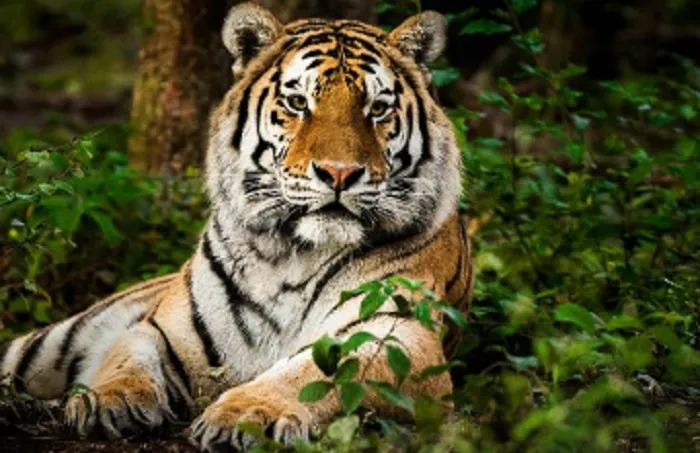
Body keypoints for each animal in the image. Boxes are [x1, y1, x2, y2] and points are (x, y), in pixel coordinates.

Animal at [0, 3, 473, 451]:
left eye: (377, 109)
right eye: (298, 103)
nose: (339, 174)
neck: (293, 255)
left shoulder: (397, 335)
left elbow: (316, 375)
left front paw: (247, 415)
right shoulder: (162, 329)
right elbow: (126, 358)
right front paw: (107, 400)